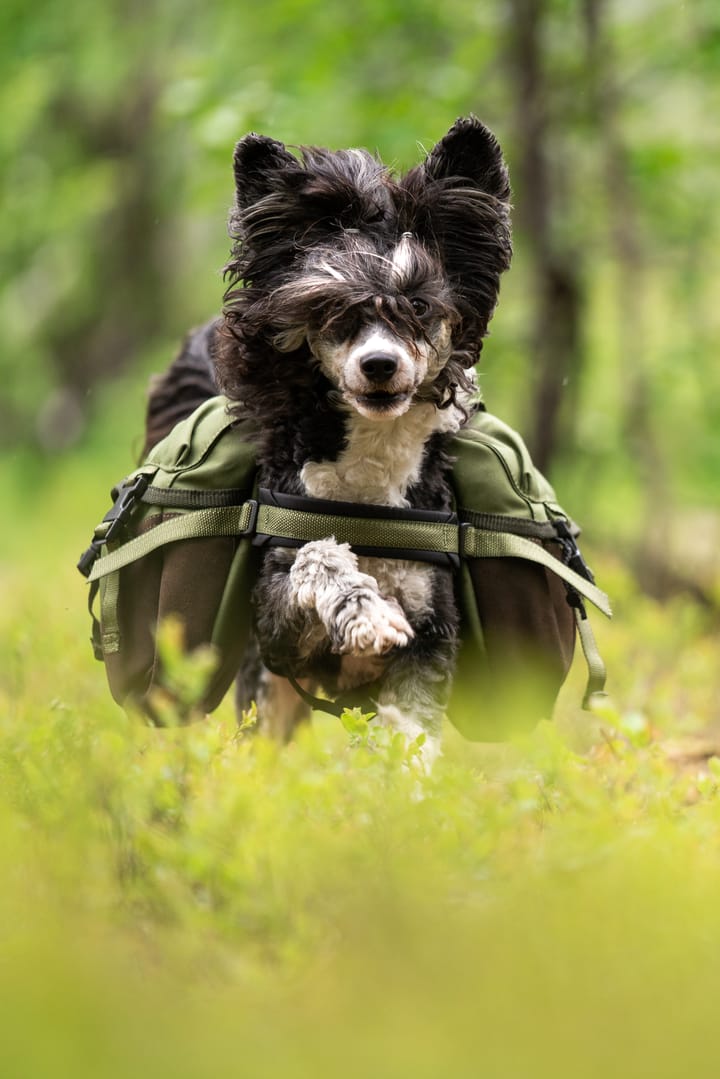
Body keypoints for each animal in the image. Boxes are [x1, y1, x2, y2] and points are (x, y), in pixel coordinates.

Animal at [144, 115, 511, 759]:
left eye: (419, 306)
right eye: (330, 308)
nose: (380, 364)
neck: (367, 488)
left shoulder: (431, 639)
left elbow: (412, 734)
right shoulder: (275, 628)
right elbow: (317, 557)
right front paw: (364, 611)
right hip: (266, 691)